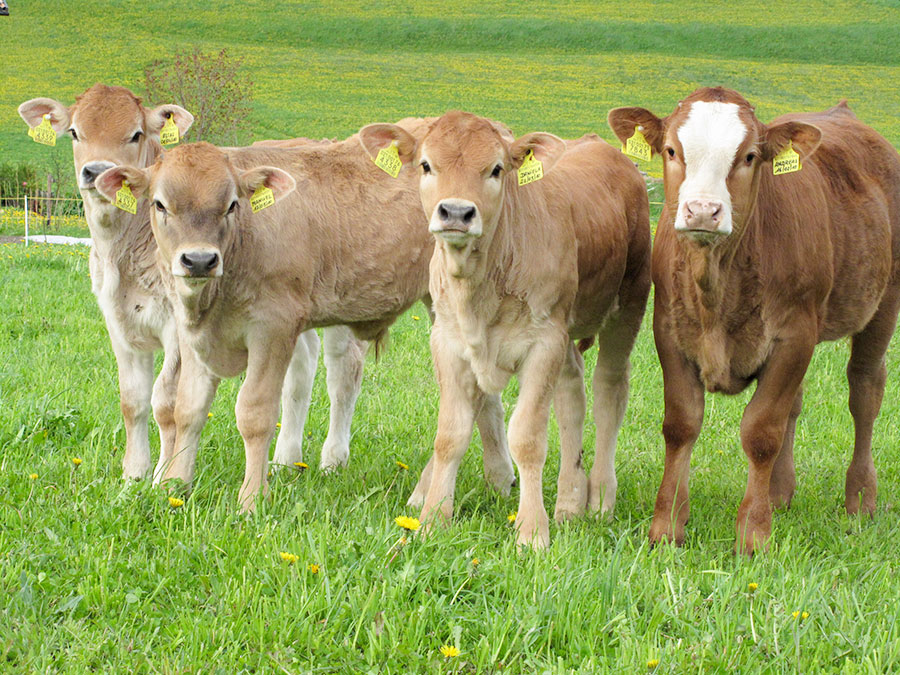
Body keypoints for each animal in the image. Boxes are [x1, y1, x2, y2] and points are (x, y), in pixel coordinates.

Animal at [17, 84, 371, 482]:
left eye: (136, 134)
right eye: (75, 132)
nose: (97, 171)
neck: (122, 252)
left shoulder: (178, 325)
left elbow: (166, 401)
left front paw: (162, 476)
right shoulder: (118, 321)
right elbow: (132, 400)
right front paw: (133, 475)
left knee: (344, 372)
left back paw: (333, 460)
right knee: (301, 370)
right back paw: (284, 460)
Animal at [94, 138, 517, 511]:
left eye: (231, 204)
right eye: (160, 204)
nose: (199, 260)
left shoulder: (274, 328)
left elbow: (255, 413)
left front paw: (251, 499)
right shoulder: (192, 334)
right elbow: (188, 409)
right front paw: (174, 486)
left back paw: (426, 494)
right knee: (484, 396)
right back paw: (499, 479)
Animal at [359, 111, 652, 548]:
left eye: (496, 169)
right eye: (426, 165)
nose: (456, 212)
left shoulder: (544, 343)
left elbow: (527, 438)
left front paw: (531, 532)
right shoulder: (449, 342)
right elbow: (450, 435)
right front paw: (432, 520)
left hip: (628, 305)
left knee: (608, 395)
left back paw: (600, 499)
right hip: (566, 336)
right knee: (571, 397)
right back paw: (569, 500)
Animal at [608, 87, 900, 554]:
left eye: (748, 156)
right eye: (671, 150)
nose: (702, 211)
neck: (717, 286)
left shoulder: (794, 336)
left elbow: (762, 431)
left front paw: (753, 534)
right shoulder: (670, 331)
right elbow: (681, 425)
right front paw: (666, 527)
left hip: (882, 305)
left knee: (865, 393)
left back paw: (860, 498)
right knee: (796, 403)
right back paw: (780, 493)